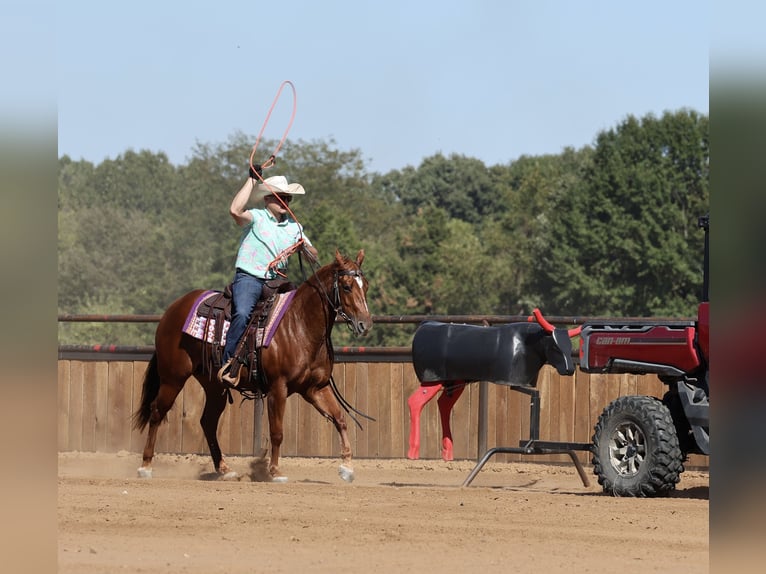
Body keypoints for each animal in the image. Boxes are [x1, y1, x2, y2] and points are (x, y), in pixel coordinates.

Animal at [132, 249, 372, 482]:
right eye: (347, 286)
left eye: (366, 285)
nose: (365, 324)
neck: (300, 324)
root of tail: (172, 310)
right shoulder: (278, 387)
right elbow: (277, 432)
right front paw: (274, 471)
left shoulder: (315, 388)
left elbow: (340, 419)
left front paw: (347, 468)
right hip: (173, 377)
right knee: (157, 411)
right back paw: (145, 466)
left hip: (213, 385)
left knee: (208, 421)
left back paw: (224, 469)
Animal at [406, 310, 581, 461]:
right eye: (555, 347)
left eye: (569, 346)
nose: (569, 369)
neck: (528, 344)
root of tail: (424, 325)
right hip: (431, 380)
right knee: (415, 401)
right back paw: (413, 452)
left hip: (456, 381)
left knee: (444, 405)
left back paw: (448, 452)